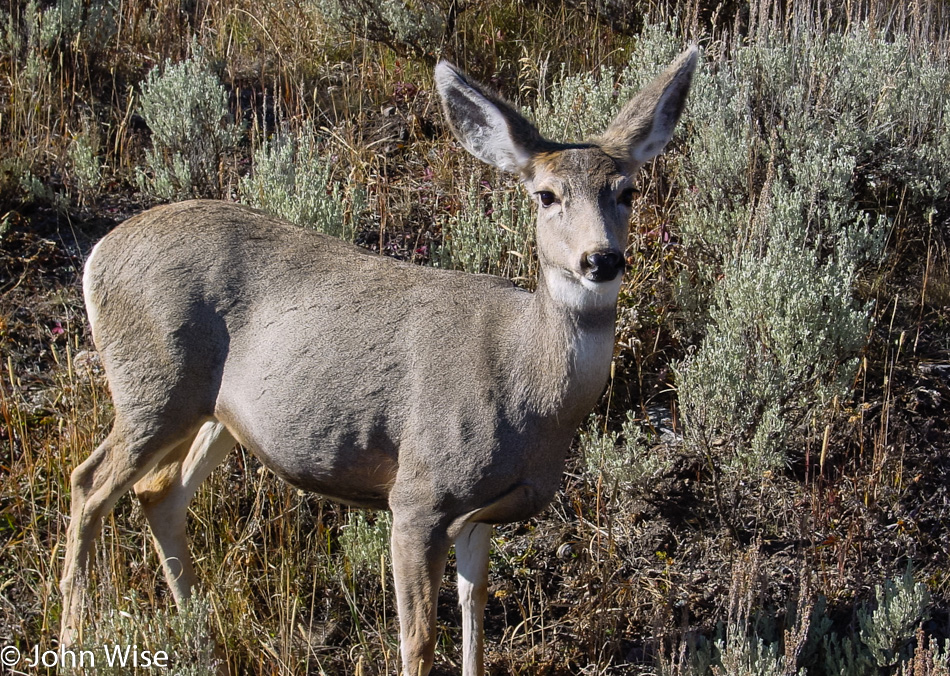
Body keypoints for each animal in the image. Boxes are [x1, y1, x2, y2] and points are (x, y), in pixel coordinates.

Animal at [59, 48, 700, 676]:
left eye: (627, 191)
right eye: (546, 195)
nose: (602, 259)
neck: (529, 390)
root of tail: (97, 255)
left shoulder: (482, 513)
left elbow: (475, 611)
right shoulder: (421, 492)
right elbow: (417, 641)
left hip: (213, 412)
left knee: (158, 493)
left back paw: (202, 643)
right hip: (153, 384)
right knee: (89, 481)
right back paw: (74, 640)